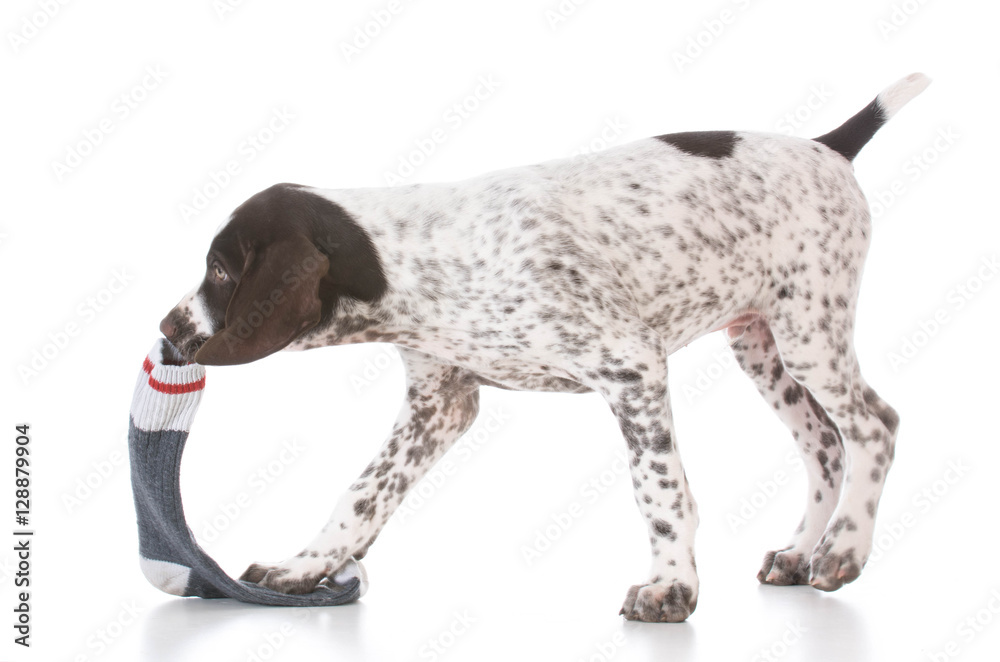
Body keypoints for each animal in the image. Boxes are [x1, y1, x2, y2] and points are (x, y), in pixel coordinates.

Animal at [158, 72, 928, 624]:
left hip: (809, 332)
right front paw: (305, 566)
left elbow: (660, 490)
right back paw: (802, 552)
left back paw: (844, 549)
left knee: (875, 426)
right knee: (825, 445)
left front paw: (671, 587)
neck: (416, 266)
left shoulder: (631, 369)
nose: (167, 330)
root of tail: (828, 144)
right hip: (762, 346)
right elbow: (363, 493)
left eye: (221, 270)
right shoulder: (441, 403)